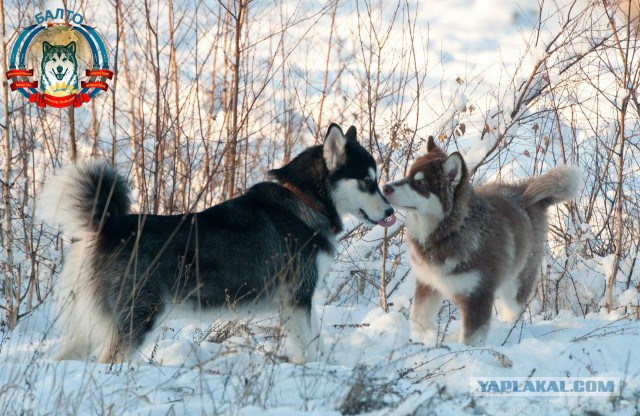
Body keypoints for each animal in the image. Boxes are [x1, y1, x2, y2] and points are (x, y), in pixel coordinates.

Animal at [38, 124, 396, 364]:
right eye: (368, 182)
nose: (391, 212)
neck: (304, 199)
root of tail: (109, 224)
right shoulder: (297, 298)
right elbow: (308, 347)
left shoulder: (295, 302)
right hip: (139, 318)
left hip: (92, 325)